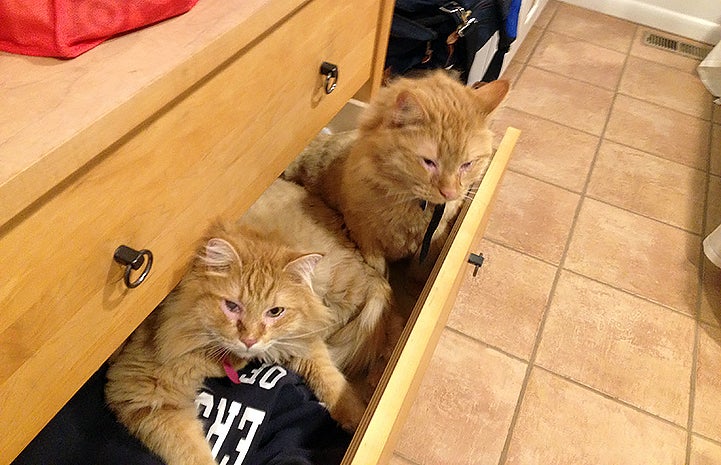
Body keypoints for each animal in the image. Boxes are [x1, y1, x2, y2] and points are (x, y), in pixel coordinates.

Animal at [105, 221, 366, 464]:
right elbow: (192, 451)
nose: (249, 340)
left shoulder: (299, 337)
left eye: (275, 312)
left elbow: (331, 378)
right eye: (232, 306)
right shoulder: (145, 390)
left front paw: (358, 417)